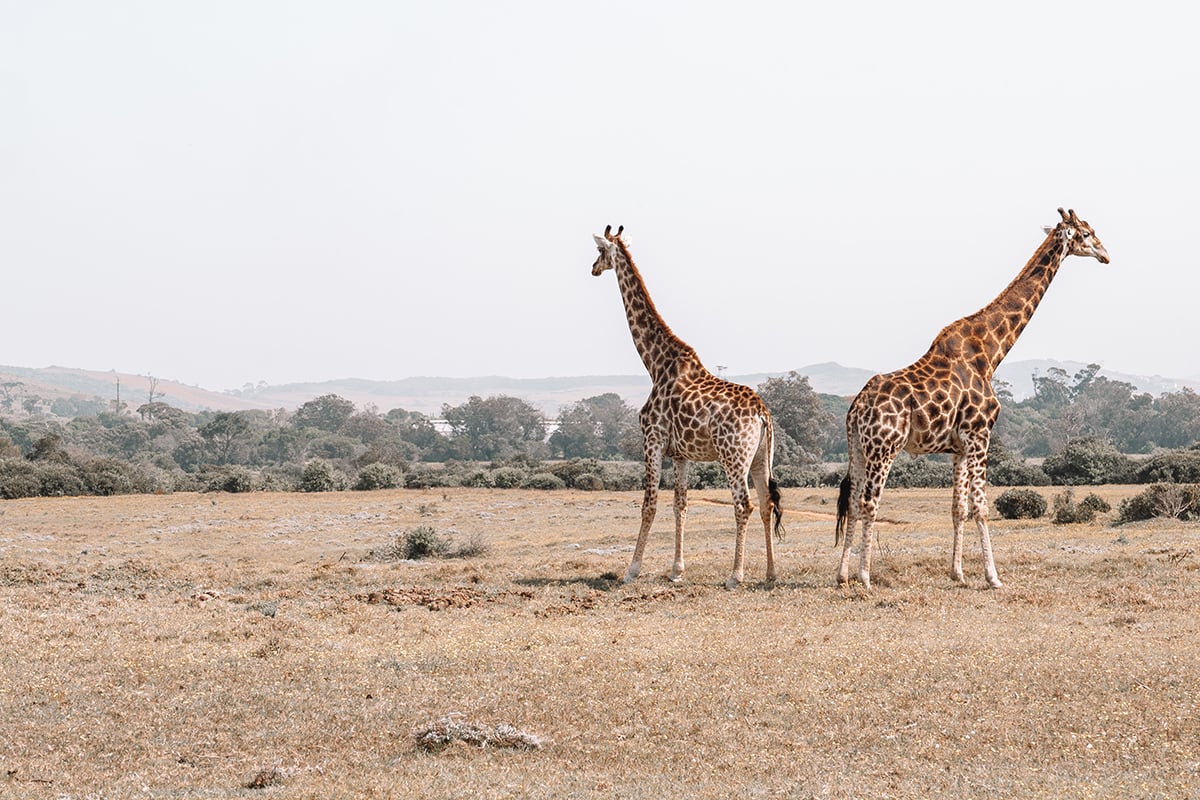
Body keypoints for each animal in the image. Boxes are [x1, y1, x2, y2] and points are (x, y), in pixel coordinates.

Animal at [591, 225, 784, 590]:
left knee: (744, 505)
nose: (593, 268)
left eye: (599, 251)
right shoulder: (680, 453)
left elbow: (649, 504)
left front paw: (631, 570)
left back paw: (735, 576)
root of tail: (762, 414)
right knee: (767, 503)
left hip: (733, 456)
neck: (655, 363)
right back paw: (770, 573)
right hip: (760, 456)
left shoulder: (651, 440)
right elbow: (680, 504)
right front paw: (677, 571)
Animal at [836, 208, 1110, 589]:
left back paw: (842, 575)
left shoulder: (959, 447)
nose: (1106, 254)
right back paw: (864, 577)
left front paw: (959, 574)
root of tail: (856, 407)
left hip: (858, 449)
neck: (991, 353)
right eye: (1086, 233)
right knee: (868, 502)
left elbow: (959, 508)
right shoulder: (980, 435)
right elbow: (981, 506)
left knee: (850, 501)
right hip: (884, 447)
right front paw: (993, 577)